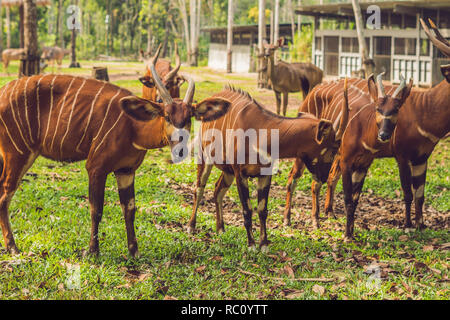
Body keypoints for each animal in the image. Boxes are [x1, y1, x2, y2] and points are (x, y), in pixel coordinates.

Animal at [0, 48, 230, 258]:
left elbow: (129, 208)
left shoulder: (126, 170)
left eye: (189, 116)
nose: (181, 149)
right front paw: (92, 251)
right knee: (5, 193)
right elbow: (96, 208)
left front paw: (134, 251)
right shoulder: (96, 167)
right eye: (166, 115)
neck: (133, 127)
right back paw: (12, 247)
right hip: (18, 152)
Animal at [185, 84, 348, 249]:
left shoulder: (265, 174)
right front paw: (251, 245)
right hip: (205, 158)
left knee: (218, 190)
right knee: (199, 189)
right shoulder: (240, 174)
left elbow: (262, 209)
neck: (262, 132)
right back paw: (191, 227)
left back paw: (220, 229)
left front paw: (263, 244)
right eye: (334, 148)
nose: (324, 177)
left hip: (227, 171)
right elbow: (247, 209)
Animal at [282, 73, 414, 230]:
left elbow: (355, 200)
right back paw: (287, 220)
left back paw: (319, 218)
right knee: (293, 177)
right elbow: (348, 199)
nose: (383, 135)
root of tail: (313, 90)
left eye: (396, 109)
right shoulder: (346, 162)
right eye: (378, 108)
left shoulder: (363, 166)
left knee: (318, 182)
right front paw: (347, 233)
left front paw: (350, 230)